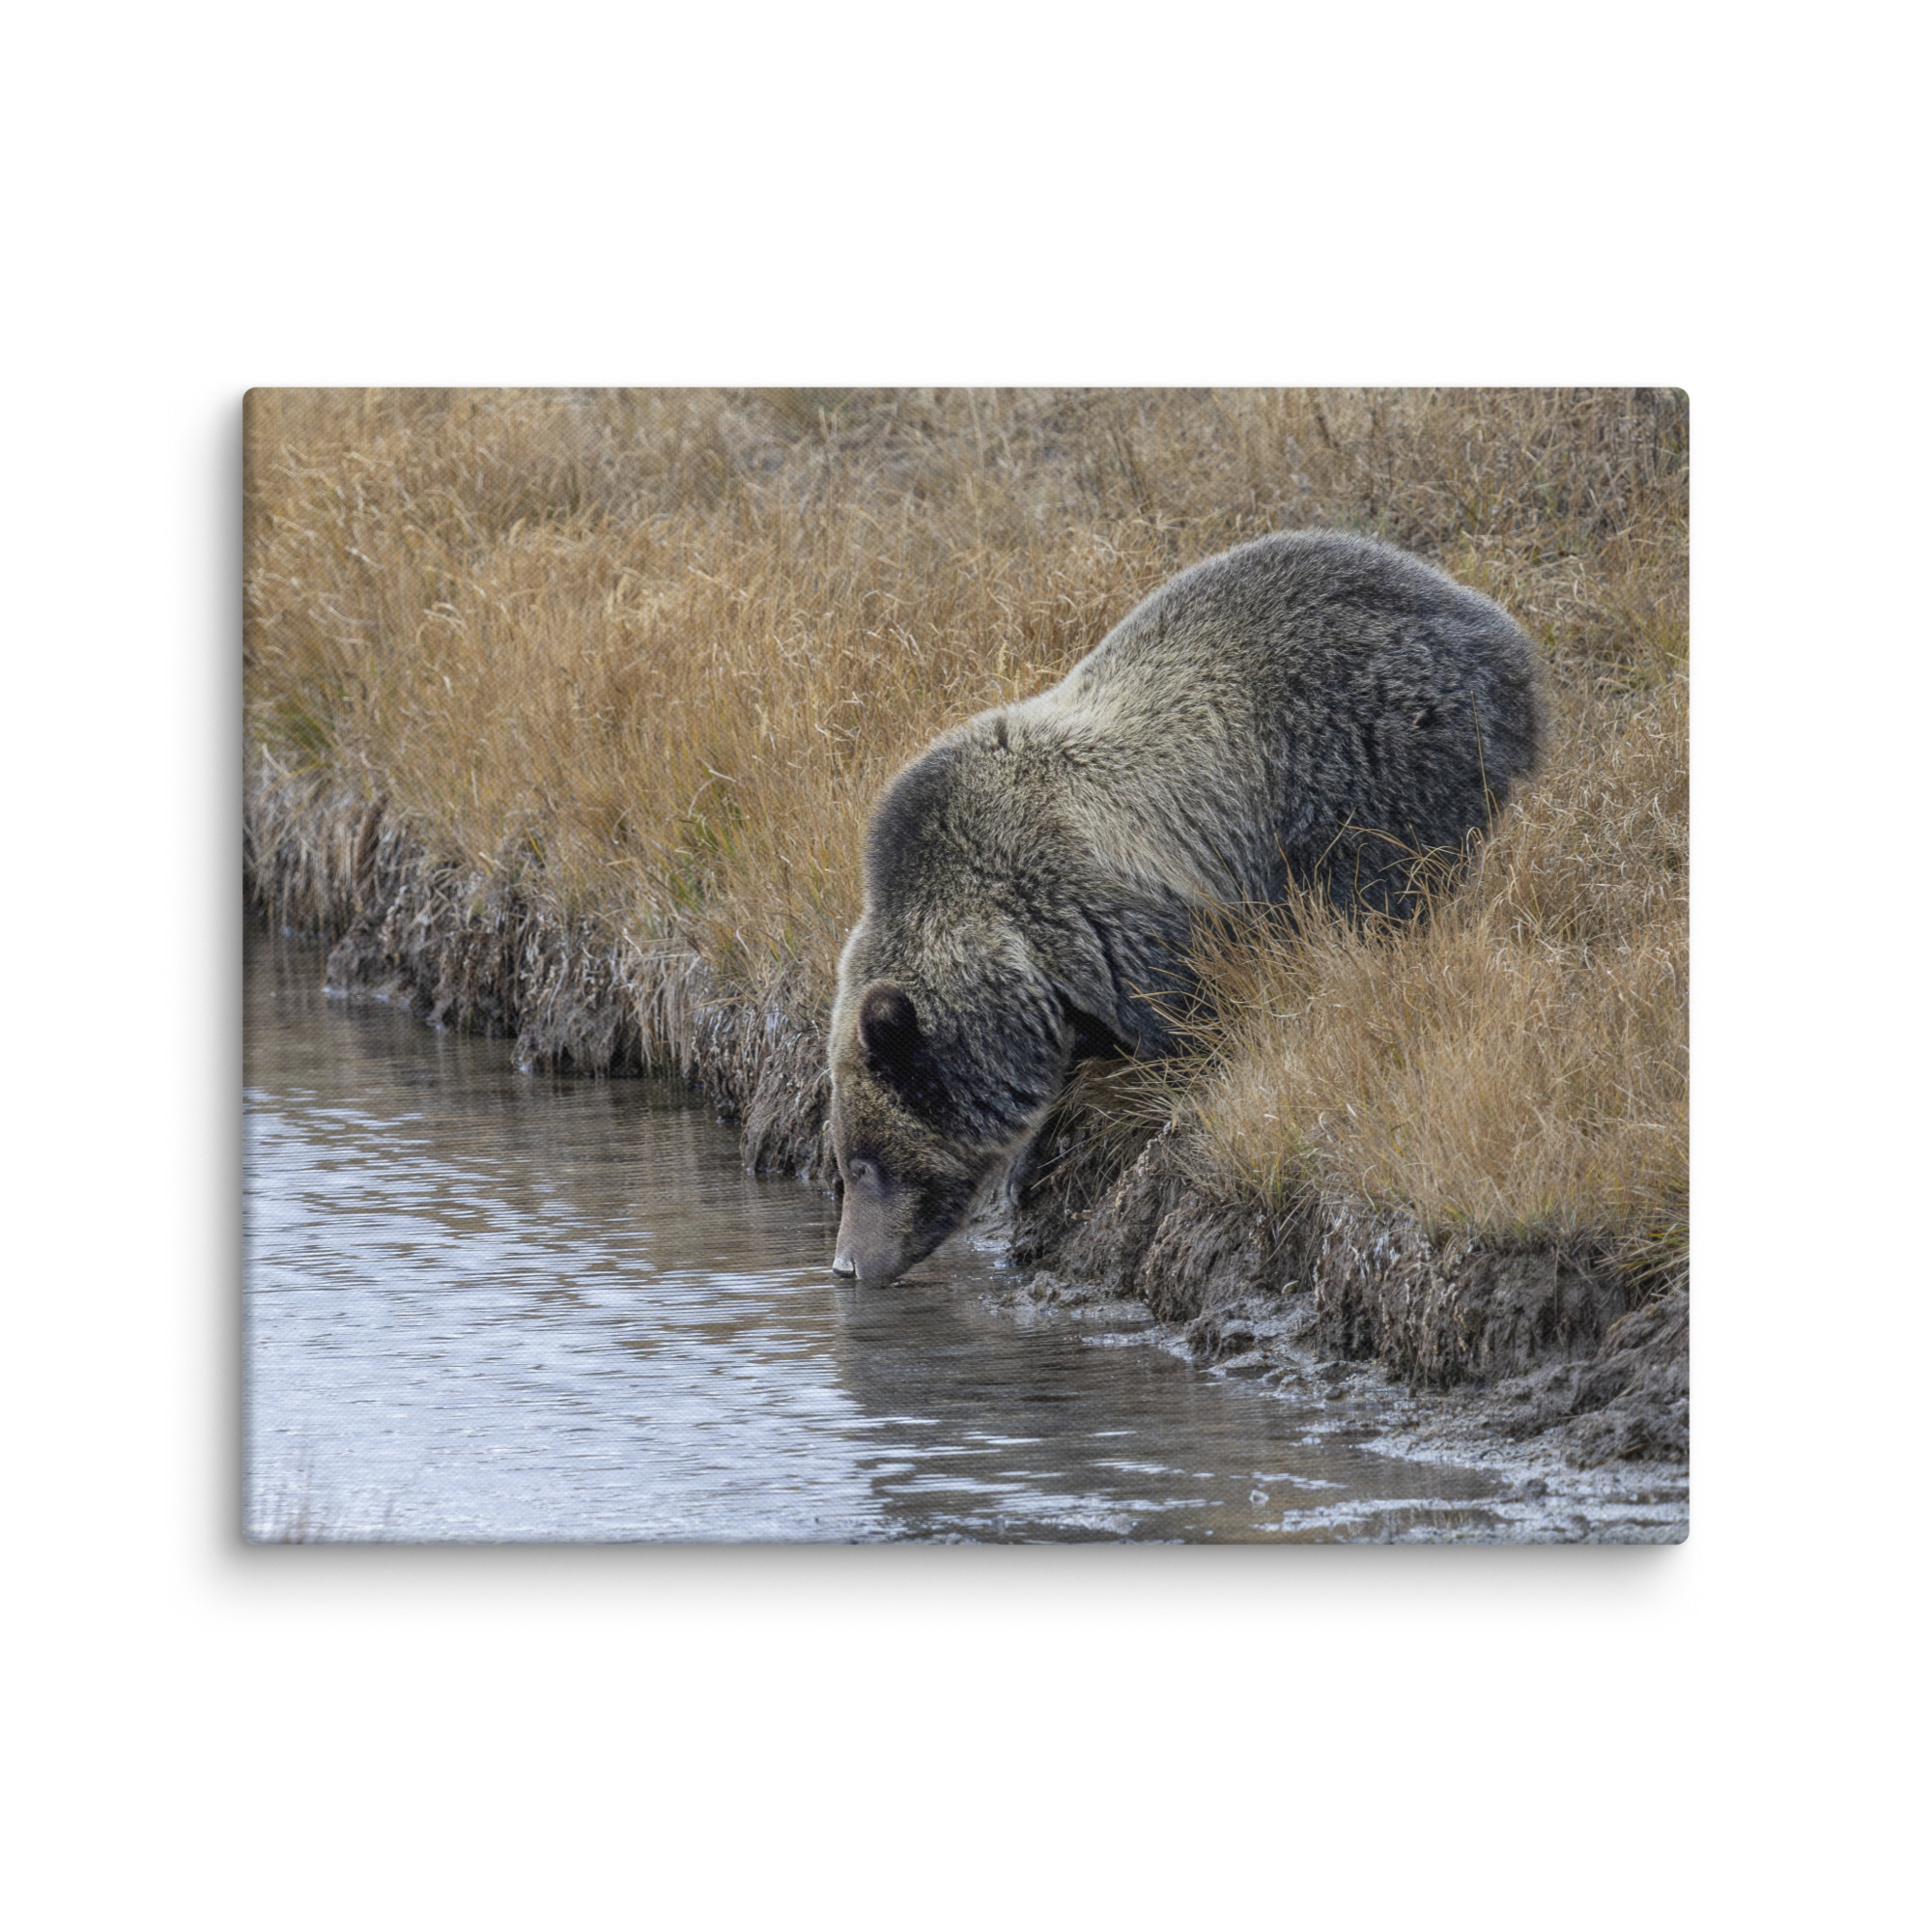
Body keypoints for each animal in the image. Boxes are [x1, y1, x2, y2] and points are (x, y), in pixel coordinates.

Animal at [827, 529, 1545, 1283]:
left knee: (1382, 889)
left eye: (865, 1163)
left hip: (1369, 757)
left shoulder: (1109, 919)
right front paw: (1032, 1157)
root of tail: (1495, 625)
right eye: (845, 1163)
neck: (1017, 952)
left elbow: (1184, 1023)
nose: (846, 1264)